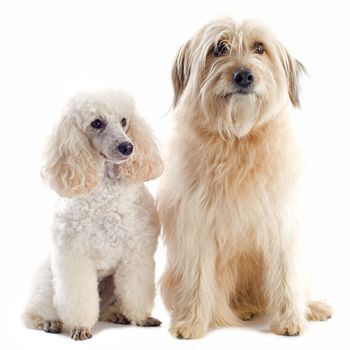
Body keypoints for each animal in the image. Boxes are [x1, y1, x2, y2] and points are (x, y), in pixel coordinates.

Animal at [23, 89, 163, 340]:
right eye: (96, 123)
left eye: (124, 121)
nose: (128, 147)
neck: (106, 189)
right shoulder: (74, 257)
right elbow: (78, 298)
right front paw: (80, 327)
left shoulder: (137, 254)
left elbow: (136, 290)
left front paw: (141, 318)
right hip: (48, 279)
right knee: (33, 311)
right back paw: (48, 322)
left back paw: (116, 314)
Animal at [157, 18, 332, 340]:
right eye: (219, 48)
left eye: (259, 48)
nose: (244, 76)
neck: (238, 140)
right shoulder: (196, 228)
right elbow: (197, 279)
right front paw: (191, 323)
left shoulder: (281, 224)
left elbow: (287, 276)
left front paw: (291, 319)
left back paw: (311, 307)